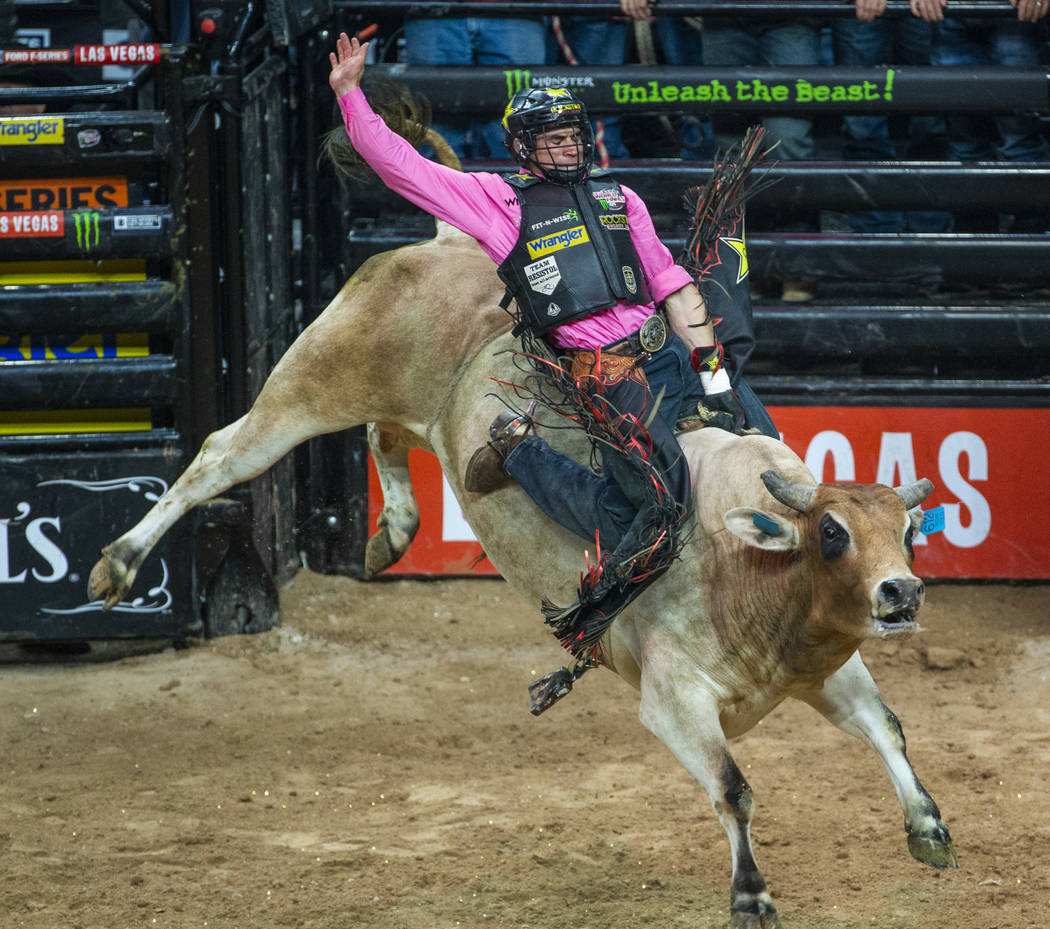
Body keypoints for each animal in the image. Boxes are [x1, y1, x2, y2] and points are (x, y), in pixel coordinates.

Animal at [90, 219, 961, 927]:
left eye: (908, 534)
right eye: (833, 533)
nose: (901, 592)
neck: (745, 562)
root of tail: (447, 239)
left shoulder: (828, 667)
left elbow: (887, 726)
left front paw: (929, 827)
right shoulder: (672, 698)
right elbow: (731, 785)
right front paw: (751, 895)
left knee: (385, 435)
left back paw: (392, 532)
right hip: (316, 378)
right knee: (221, 456)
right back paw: (117, 565)